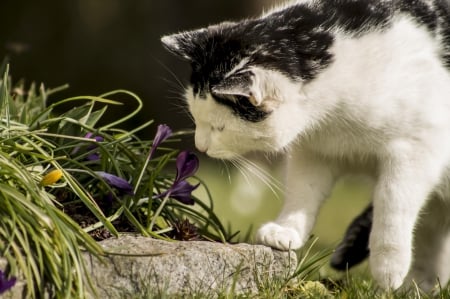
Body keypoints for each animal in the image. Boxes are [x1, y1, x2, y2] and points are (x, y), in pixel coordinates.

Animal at [160, 0, 450, 292]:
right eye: (196, 117)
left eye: (219, 127)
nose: (201, 146)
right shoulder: (314, 152)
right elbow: (303, 191)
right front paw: (286, 230)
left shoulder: (418, 147)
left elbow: (392, 201)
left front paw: (389, 267)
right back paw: (421, 286)